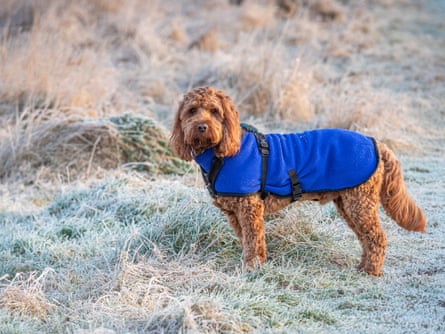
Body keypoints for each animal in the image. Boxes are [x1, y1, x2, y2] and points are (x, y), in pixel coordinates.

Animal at [169, 86, 424, 276]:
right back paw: (363, 267)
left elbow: (253, 240)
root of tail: (376, 143)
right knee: (366, 238)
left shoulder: (249, 208)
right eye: (192, 110)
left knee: (377, 237)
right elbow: (248, 240)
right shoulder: (234, 213)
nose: (202, 126)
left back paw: (371, 271)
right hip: (349, 203)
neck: (220, 153)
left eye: (214, 111)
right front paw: (253, 264)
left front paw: (252, 268)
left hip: (360, 202)